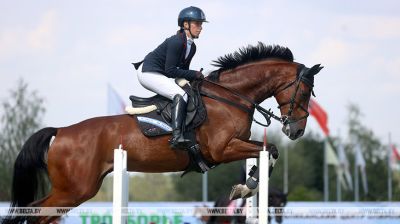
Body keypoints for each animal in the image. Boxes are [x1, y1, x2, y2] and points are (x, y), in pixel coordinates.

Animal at [2, 43, 322, 223]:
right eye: (306, 92)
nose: (296, 130)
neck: (230, 97)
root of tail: (60, 131)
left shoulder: (233, 147)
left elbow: (268, 152)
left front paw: (245, 186)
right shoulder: (223, 149)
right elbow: (270, 150)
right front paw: (246, 187)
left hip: (76, 190)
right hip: (74, 190)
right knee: (35, 214)